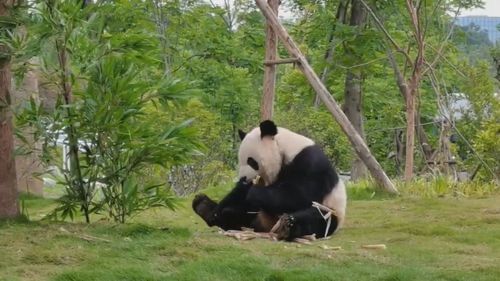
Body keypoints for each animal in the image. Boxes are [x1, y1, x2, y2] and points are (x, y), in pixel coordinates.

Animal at [192, 119, 348, 240]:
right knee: (242, 213)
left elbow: (299, 195)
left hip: (332, 212)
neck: (284, 146)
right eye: (239, 160)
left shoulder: (310, 163)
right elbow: (235, 197)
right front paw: (218, 208)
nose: (243, 178)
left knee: (315, 218)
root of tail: (267, 227)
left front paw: (248, 190)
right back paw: (204, 206)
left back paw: (287, 226)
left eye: (251, 161)